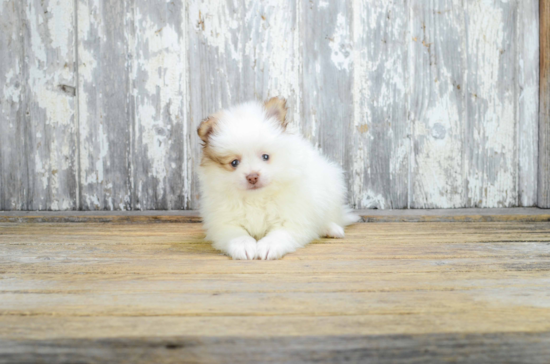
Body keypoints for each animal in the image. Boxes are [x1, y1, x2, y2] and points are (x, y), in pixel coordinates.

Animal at [198, 98, 362, 260]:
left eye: (265, 157)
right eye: (234, 163)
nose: (252, 176)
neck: (257, 198)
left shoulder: (293, 219)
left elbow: (279, 234)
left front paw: (268, 246)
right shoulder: (224, 223)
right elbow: (236, 234)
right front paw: (243, 245)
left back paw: (331, 228)